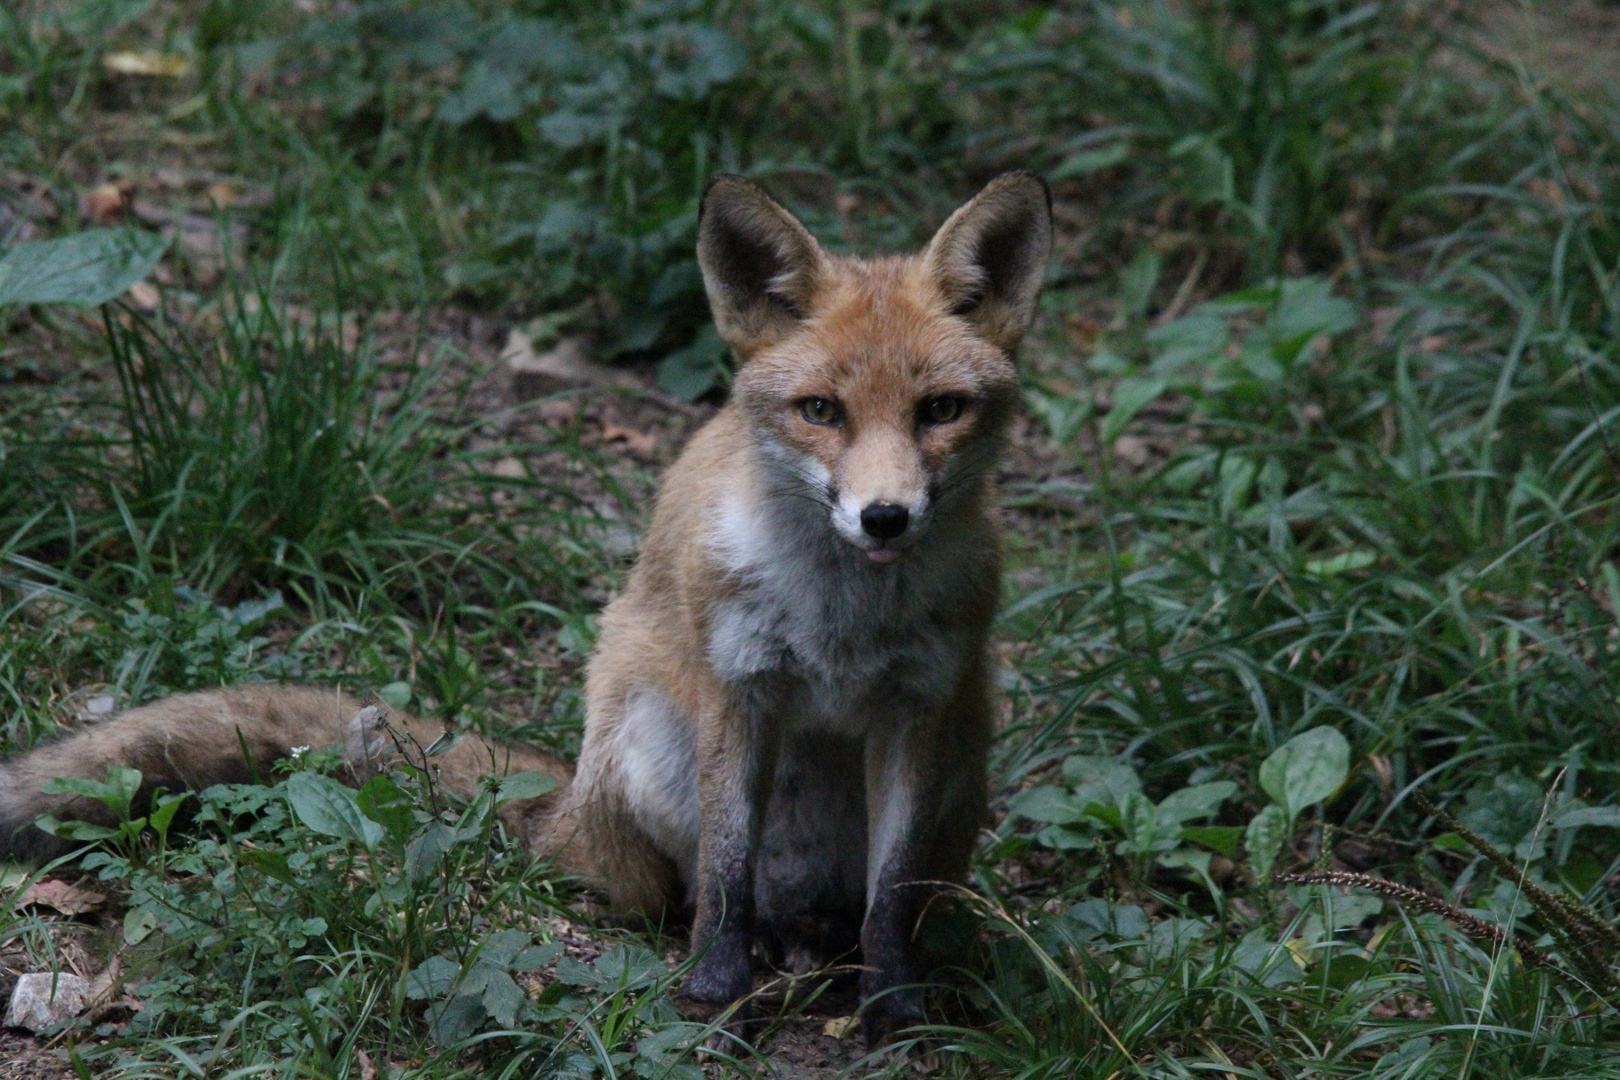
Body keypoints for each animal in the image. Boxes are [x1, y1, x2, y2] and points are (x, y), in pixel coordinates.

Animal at [0, 170, 1049, 1049]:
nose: (884, 517)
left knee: (851, 908)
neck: (841, 615)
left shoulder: (917, 710)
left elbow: (889, 902)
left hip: (965, 756)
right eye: (822, 411)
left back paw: (816, 947)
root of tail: (567, 804)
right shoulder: (740, 686)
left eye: (940, 411)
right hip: (644, 728)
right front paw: (716, 997)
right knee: (681, 895)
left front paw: (896, 1013)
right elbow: (725, 877)